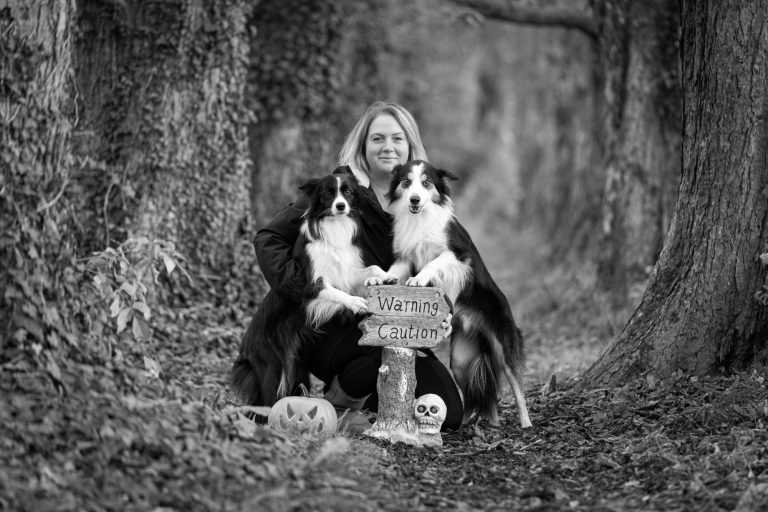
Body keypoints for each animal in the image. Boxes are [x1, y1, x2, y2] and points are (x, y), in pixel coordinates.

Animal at [231, 171, 391, 406]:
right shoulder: (311, 282)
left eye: (348, 192)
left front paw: (386, 276)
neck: (335, 225)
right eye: (327, 194)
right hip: (272, 369)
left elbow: (372, 268)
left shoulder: (347, 274)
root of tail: (244, 347)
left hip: (297, 370)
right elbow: (335, 292)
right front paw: (355, 303)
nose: (341, 206)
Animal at [367, 160, 532, 428]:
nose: (414, 199)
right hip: (460, 362)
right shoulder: (406, 257)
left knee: (517, 387)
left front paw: (419, 279)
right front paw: (381, 277)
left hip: (503, 347)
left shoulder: (459, 254)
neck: (421, 218)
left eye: (426, 183)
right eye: (406, 182)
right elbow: (393, 269)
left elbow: (434, 262)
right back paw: (467, 423)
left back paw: (526, 423)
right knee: (473, 396)